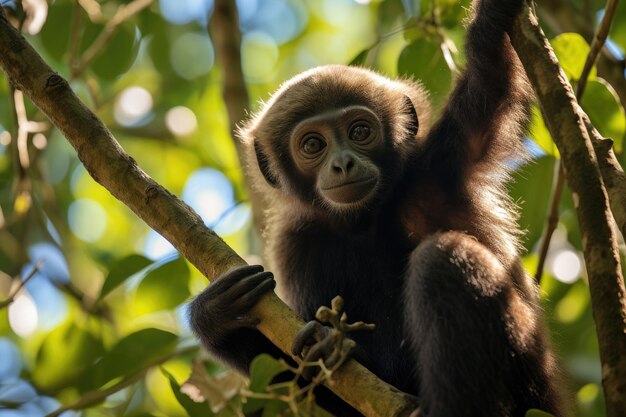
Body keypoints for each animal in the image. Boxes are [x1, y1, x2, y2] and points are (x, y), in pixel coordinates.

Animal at [188, 0, 564, 414]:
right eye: (313, 145)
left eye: (360, 132)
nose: (342, 163)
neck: (365, 221)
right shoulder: (297, 246)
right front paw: (214, 319)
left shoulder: (441, 164)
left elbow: (491, 77)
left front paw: (493, 15)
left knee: (441, 259)